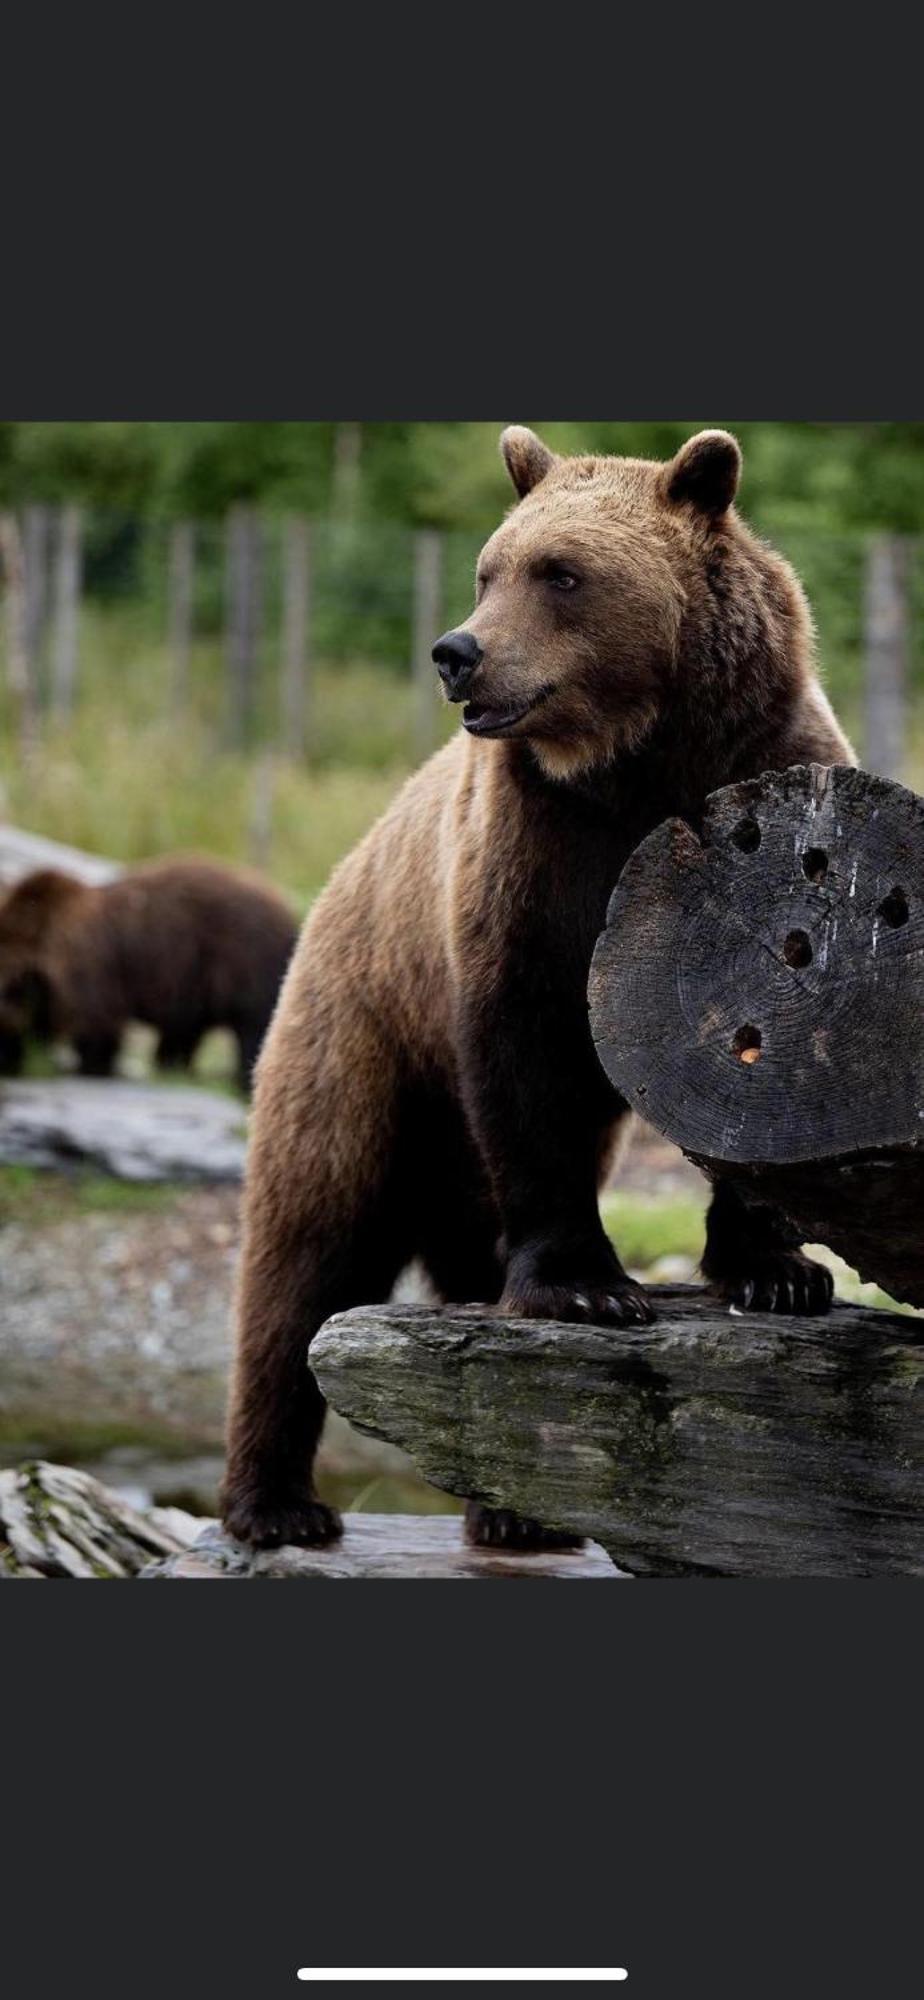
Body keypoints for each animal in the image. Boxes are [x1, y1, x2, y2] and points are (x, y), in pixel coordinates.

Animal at [0, 852, 296, 1088]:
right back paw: (173, 1067)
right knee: (184, 1032)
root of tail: (285, 908)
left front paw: (92, 1067)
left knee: (250, 1026)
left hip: (240, 960)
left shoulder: (88, 969)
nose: (9, 1064)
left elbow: (96, 1025)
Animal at [220, 418, 856, 1544]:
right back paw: (277, 1503)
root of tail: (332, 884)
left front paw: (777, 1271)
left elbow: (770, 1064)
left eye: (561, 572)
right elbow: (525, 1054)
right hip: (363, 1031)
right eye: (491, 567)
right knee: (308, 1244)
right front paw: (586, 1287)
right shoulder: (527, 859)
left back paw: (517, 1513)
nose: (456, 653)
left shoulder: (768, 795)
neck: (635, 760)